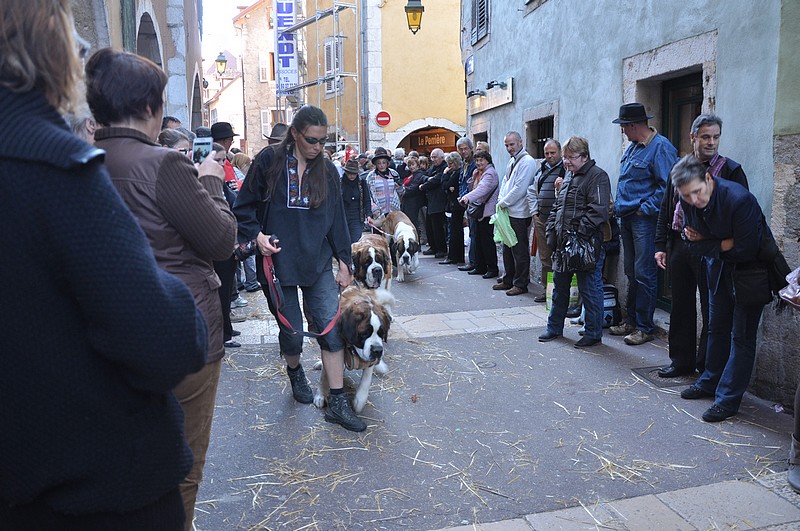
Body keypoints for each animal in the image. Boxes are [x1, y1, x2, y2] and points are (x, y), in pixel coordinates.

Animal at [316, 286, 396, 416]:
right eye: (364, 334)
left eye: (382, 333)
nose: (378, 350)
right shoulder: (333, 344)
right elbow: (325, 374)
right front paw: (320, 395)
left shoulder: (370, 360)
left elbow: (366, 380)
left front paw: (359, 400)